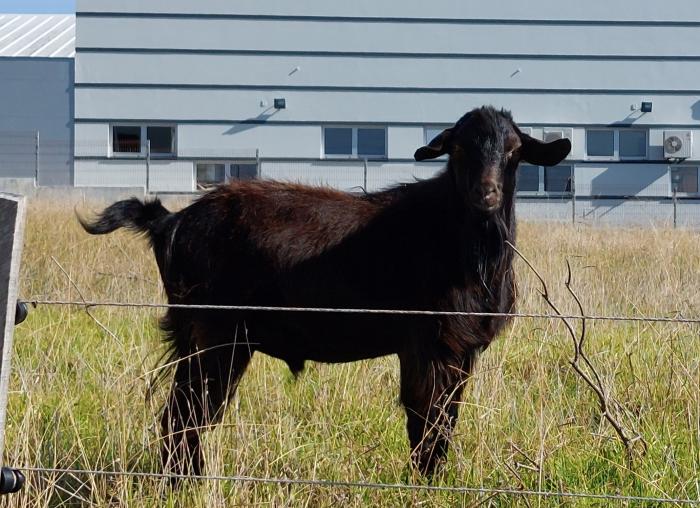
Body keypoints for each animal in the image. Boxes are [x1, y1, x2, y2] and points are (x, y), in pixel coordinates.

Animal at [80, 106, 568, 476]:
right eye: (460, 148)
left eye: (514, 151)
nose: (486, 195)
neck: (466, 244)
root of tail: (171, 221)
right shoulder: (427, 342)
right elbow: (425, 420)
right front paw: (427, 483)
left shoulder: (461, 350)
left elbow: (445, 419)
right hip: (215, 333)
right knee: (187, 415)